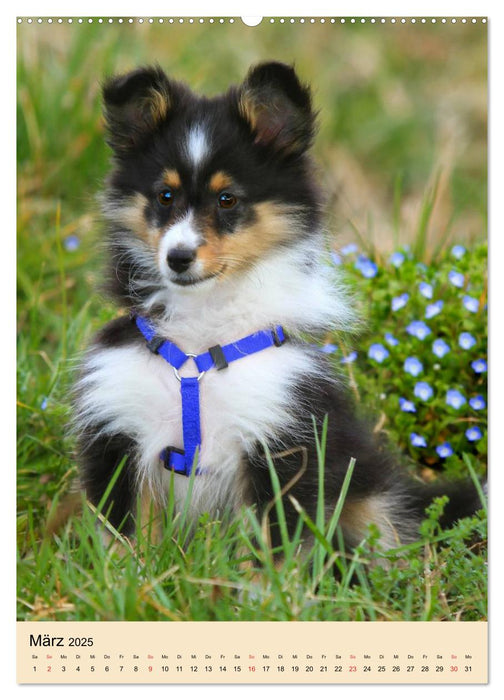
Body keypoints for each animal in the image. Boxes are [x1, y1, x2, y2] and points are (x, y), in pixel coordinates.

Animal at [73, 60, 482, 556]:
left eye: (227, 199)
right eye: (164, 196)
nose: (178, 258)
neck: (198, 344)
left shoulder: (277, 439)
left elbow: (267, 545)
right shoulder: (121, 430)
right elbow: (126, 535)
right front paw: (133, 572)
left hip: (368, 495)